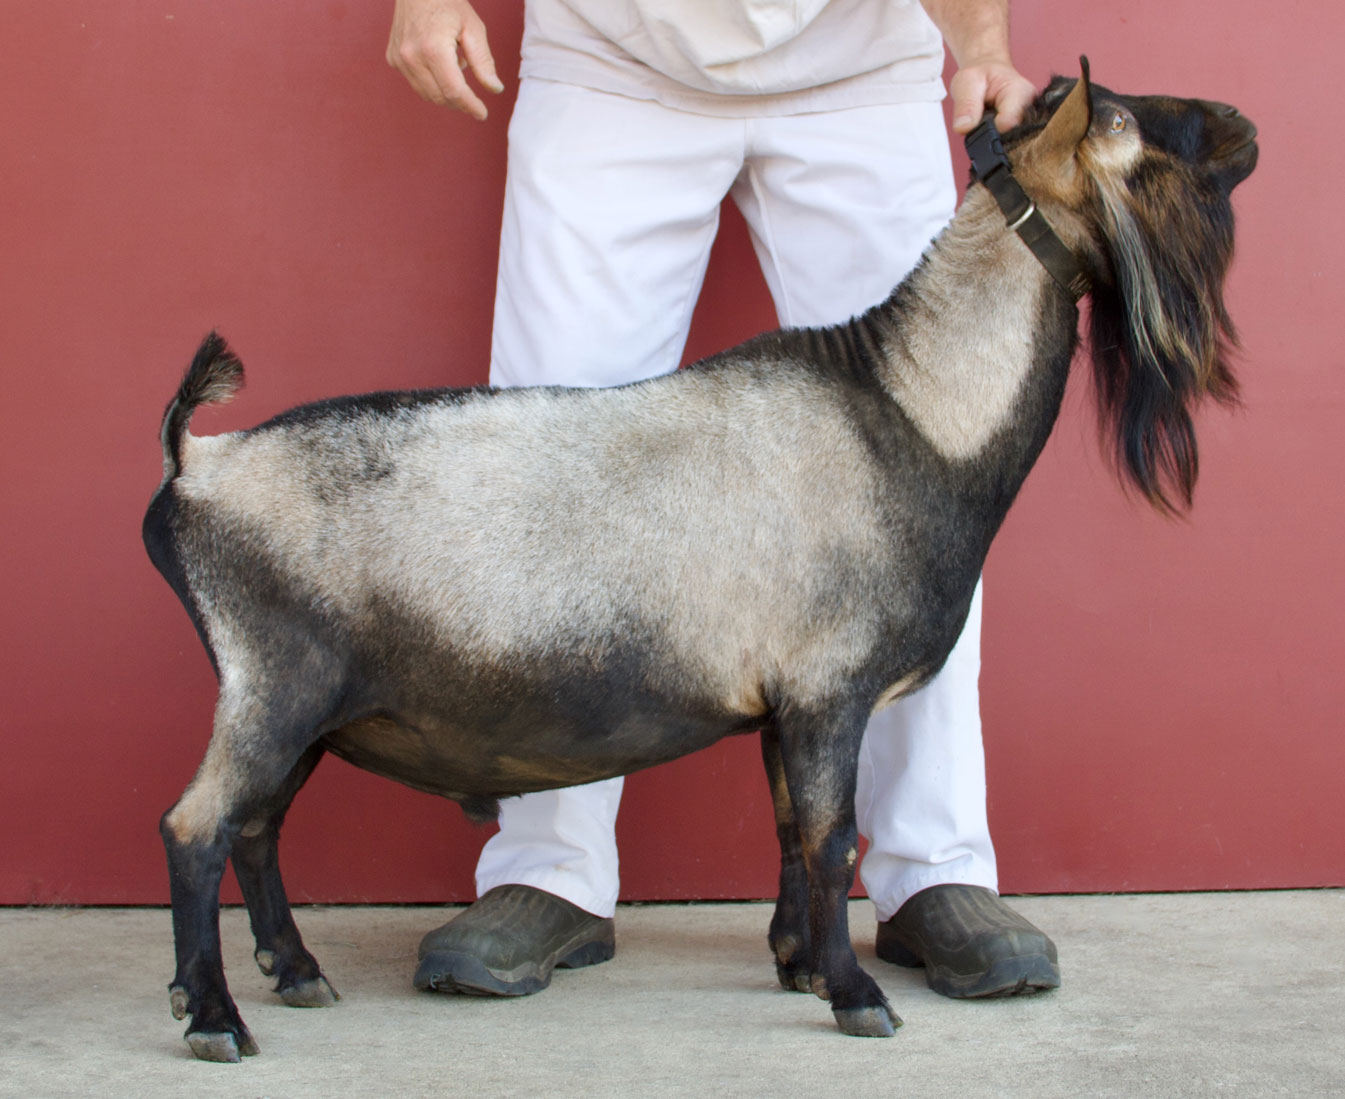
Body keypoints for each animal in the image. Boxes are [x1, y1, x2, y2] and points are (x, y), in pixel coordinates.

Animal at [147, 64, 1258, 1059]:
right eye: (1122, 118)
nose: (1241, 123)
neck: (914, 410)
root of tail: (198, 465)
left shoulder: (784, 702)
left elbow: (788, 827)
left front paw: (799, 965)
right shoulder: (829, 685)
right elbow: (829, 839)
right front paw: (855, 996)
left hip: (304, 709)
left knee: (257, 827)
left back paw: (297, 973)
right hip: (274, 685)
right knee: (198, 827)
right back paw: (215, 1018)